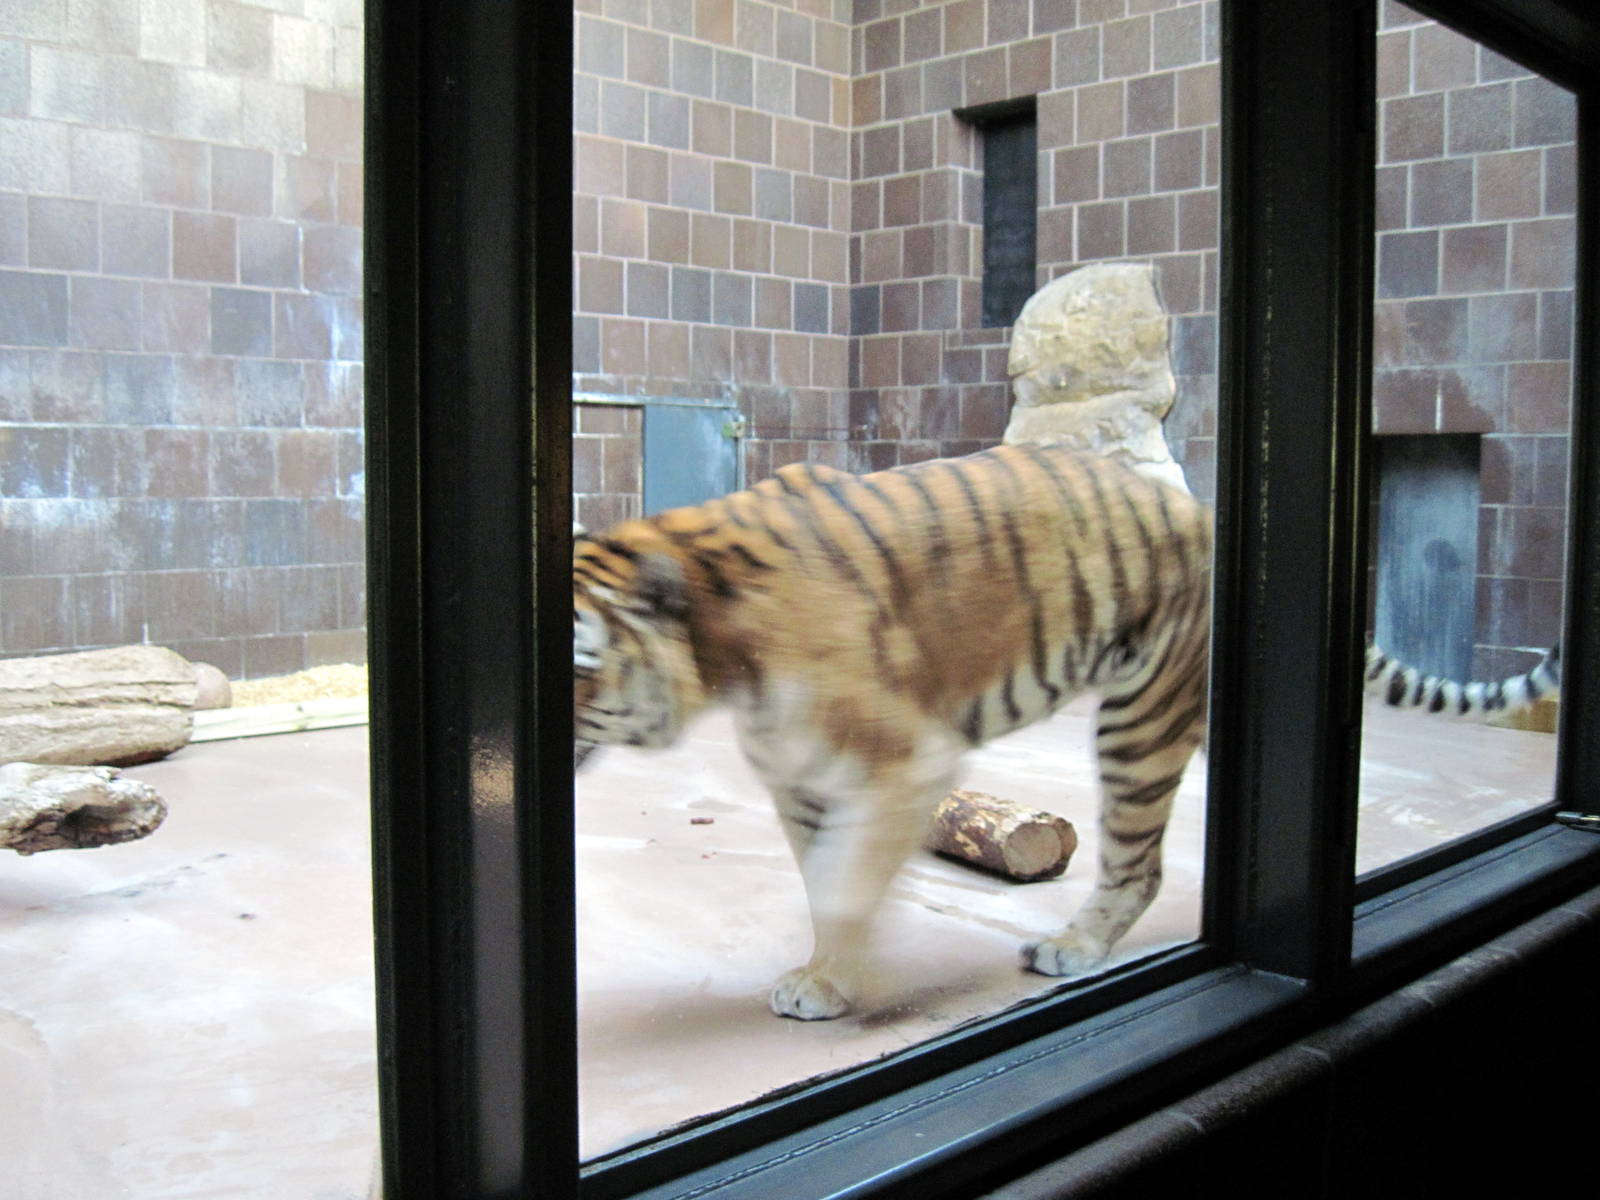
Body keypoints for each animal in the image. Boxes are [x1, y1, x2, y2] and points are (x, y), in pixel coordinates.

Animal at [572, 442, 1561, 1020]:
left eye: (573, 660)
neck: (712, 647)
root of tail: (1204, 509)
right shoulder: (803, 783)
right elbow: (824, 882)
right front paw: (825, 969)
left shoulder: (903, 761)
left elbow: (849, 885)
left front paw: (842, 981)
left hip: (1139, 719)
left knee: (1138, 860)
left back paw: (1075, 948)